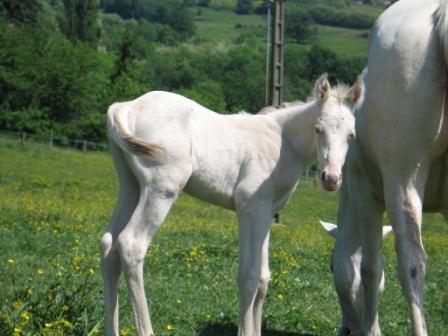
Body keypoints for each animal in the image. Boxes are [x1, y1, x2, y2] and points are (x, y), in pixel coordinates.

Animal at [101, 73, 364, 336]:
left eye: (351, 135)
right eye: (318, 129)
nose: (331, 178)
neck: (282, 141)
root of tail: (126, 106)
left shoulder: (266, 213)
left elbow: (263, 278)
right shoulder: (251, 207)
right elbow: (249, 276)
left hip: (131, 187)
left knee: (108, 244)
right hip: (162, 189)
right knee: (131, 244)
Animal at [324, 1, 448, 334]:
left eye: (329, 265)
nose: (346, 329)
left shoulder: (364, 196)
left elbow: (367, 269)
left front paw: (370, 328)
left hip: (401, 181)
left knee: (411, 264)